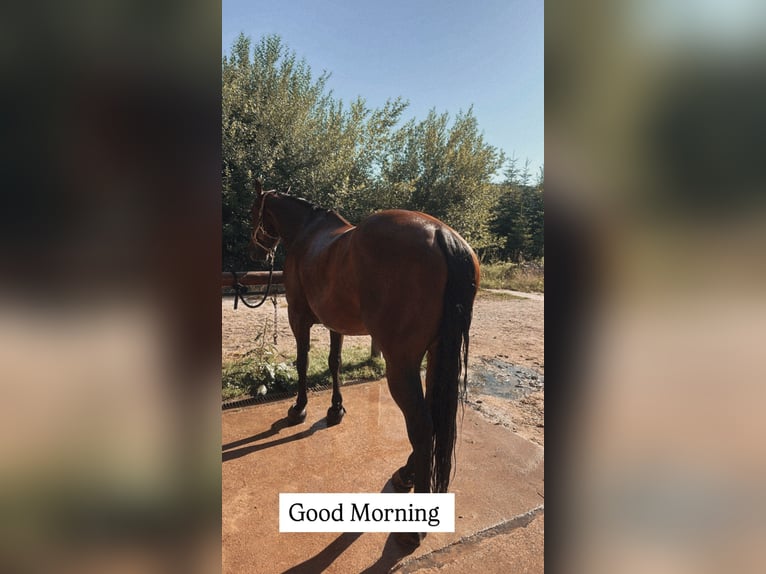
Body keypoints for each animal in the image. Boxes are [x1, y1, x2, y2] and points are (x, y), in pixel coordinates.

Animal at [248, 181, 479, 546]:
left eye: (253, 211)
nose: (256, 254)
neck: (307, 232)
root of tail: (441, 234)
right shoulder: (335, 323)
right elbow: (334, 362)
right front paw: (335, 410)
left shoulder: (298, 316)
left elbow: (302, 362)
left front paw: (298, 409)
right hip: (435, 353)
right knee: (431, 416)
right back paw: (406, 474)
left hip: (401, 364)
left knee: (421, 425)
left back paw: (413, 529)